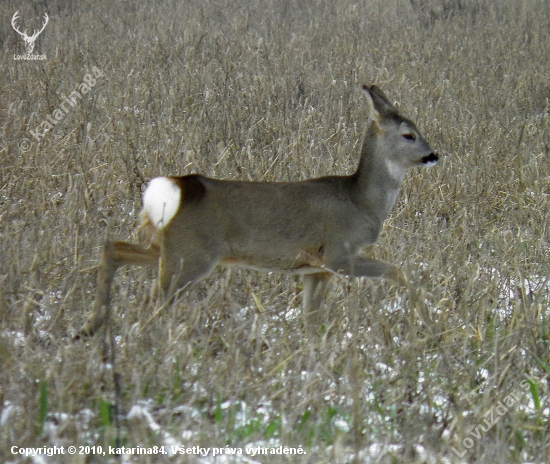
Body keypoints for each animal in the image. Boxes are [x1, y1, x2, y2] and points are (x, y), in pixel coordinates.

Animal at [78, 84, 440, 338]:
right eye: (409, 134)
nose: (433, 155)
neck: (361, 201)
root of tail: (177, 188)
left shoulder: (314, 269)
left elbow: (311, 321)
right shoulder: (338, 254)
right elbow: (400, 271)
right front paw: (429, 325)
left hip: (168, 247)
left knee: (113, 247)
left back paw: (91, 327)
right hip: (190, 258)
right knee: (149, 305)